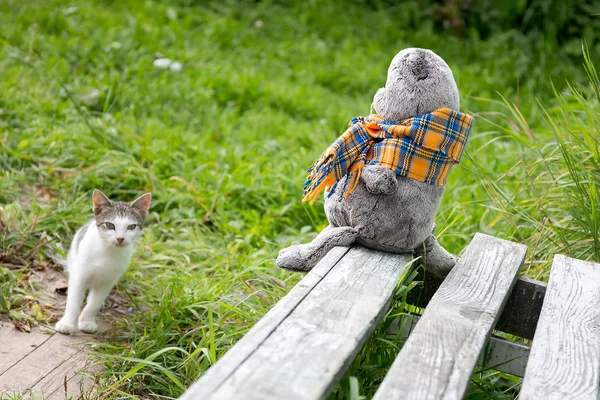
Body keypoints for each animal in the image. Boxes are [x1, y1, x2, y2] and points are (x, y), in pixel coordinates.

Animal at [55, 189, 151, 332]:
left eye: (131, 227)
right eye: (110, 225)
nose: (120, 238)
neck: (107, 251)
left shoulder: (109, 281)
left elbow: (95, 303)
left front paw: (87, 321)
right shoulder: (79, 275)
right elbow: (74, 301)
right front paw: (67, 323)